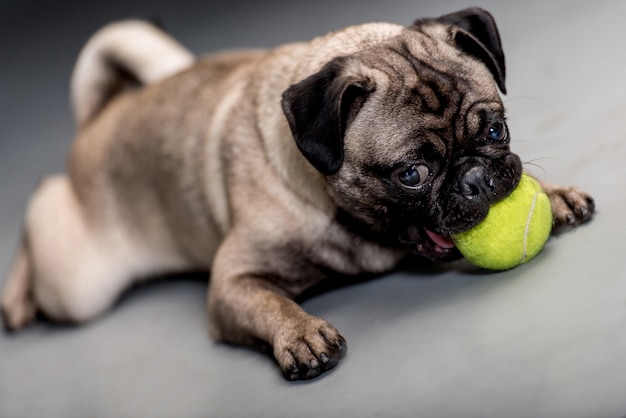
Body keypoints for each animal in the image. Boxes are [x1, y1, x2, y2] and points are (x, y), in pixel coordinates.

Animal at [1, 7, 596, 378]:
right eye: (412, 174)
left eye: (495, 131)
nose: (476, 178)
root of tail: (102, 115)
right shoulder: (232, 282)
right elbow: (270, 301)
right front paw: (301, 333)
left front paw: (553, 192)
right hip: (80, 285)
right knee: (43, 202)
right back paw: (15, 298)